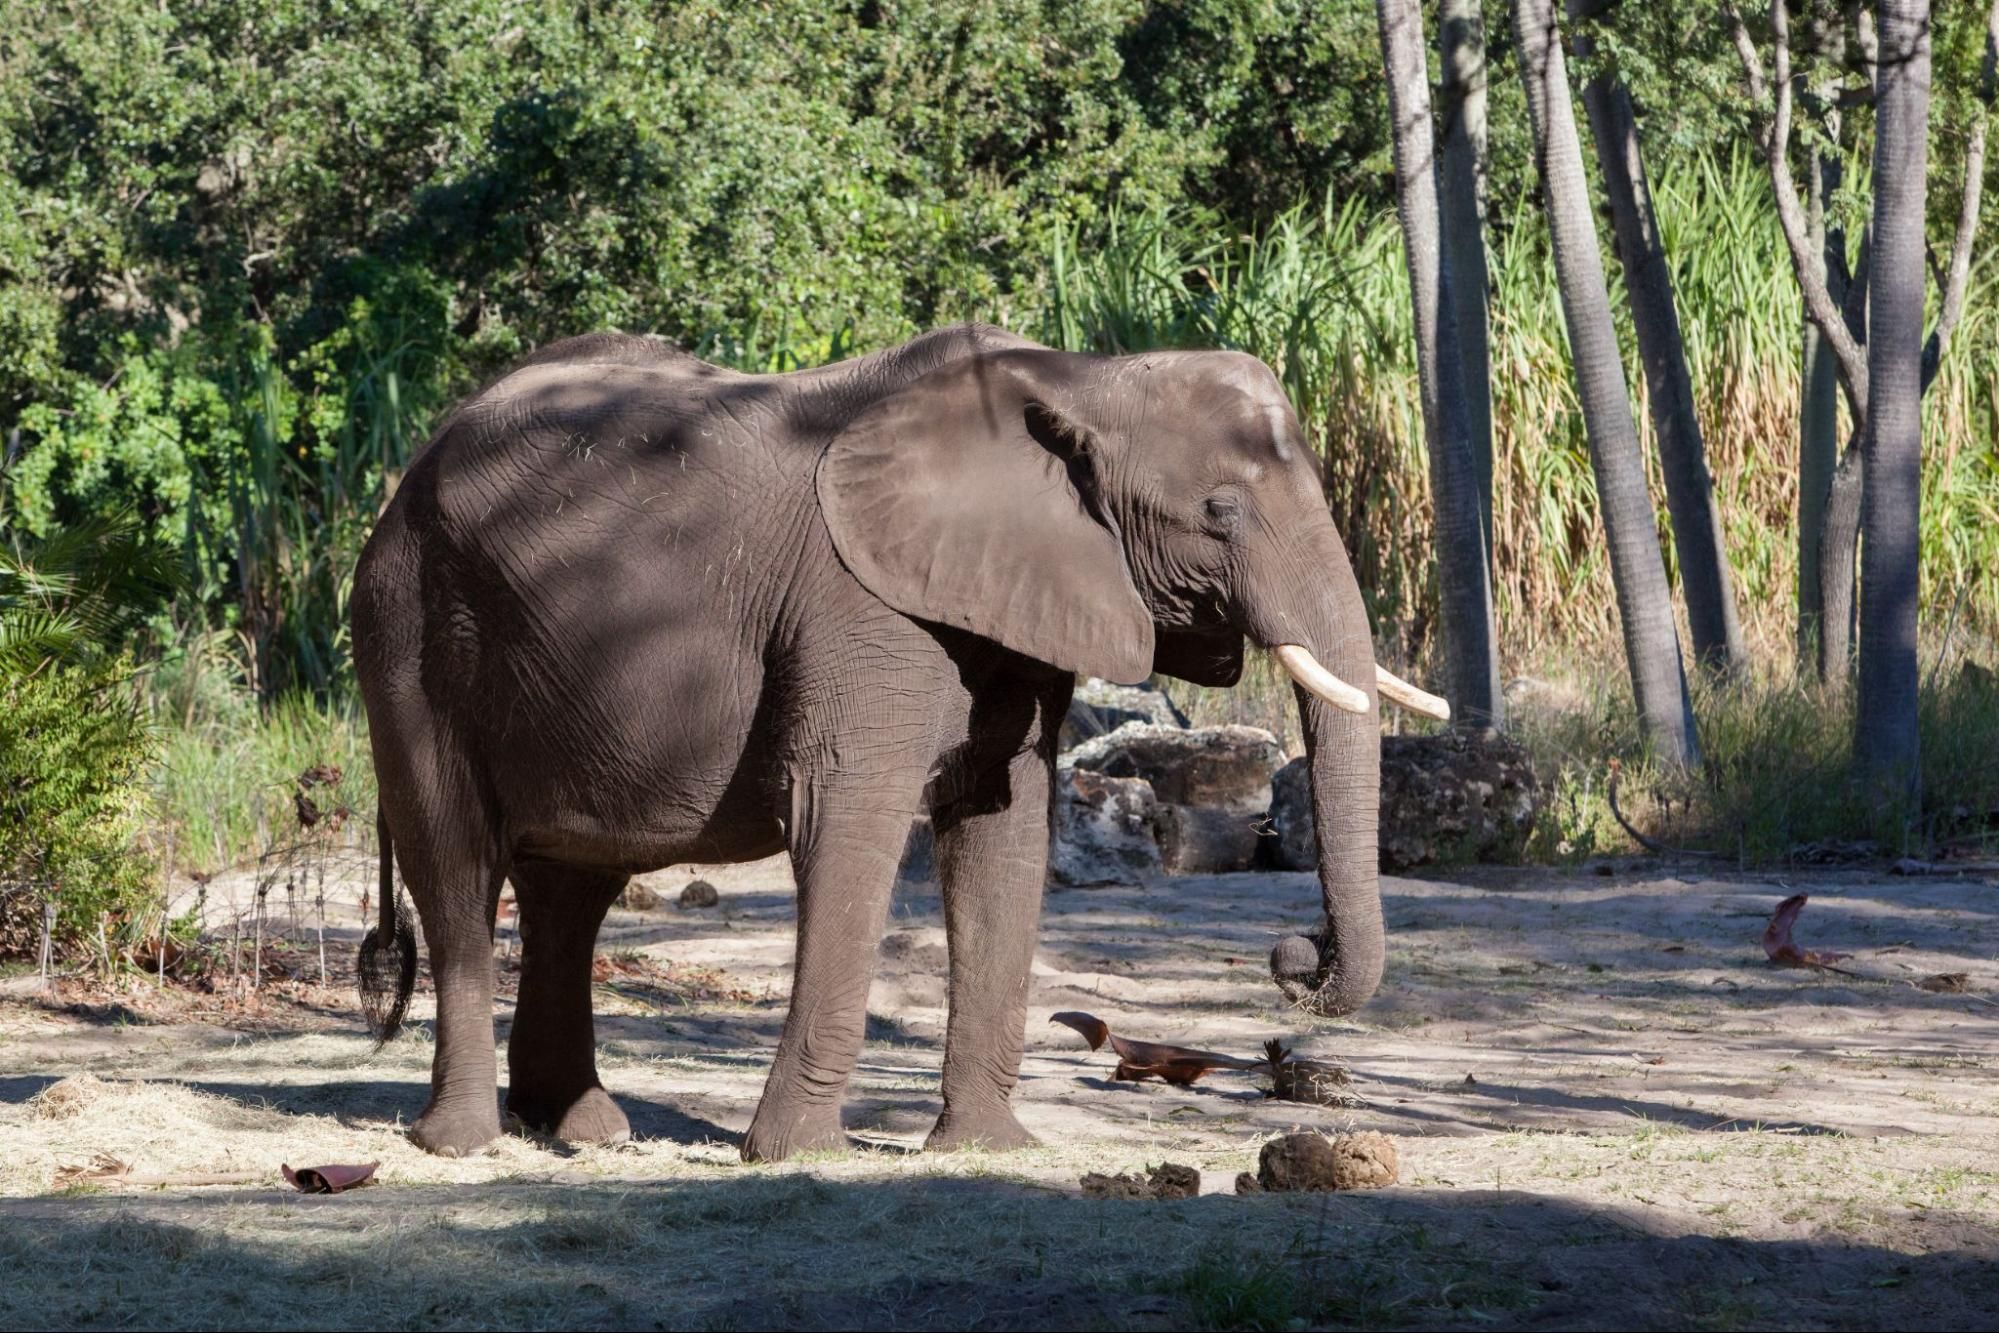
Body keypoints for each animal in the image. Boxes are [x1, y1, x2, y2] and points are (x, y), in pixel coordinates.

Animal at [350, 324, 1446, 1162]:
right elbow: (848, 817)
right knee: (459, 862)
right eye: (1218, 511)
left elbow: (1006, 834)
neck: (1076, 377)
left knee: (571, 884)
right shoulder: (861, 609)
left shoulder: (1016, 610)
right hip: (409, 628)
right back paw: (463, 1143)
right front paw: (797, 1155)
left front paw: (990, 1149)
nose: (1293, 954)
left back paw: (580, 1130)